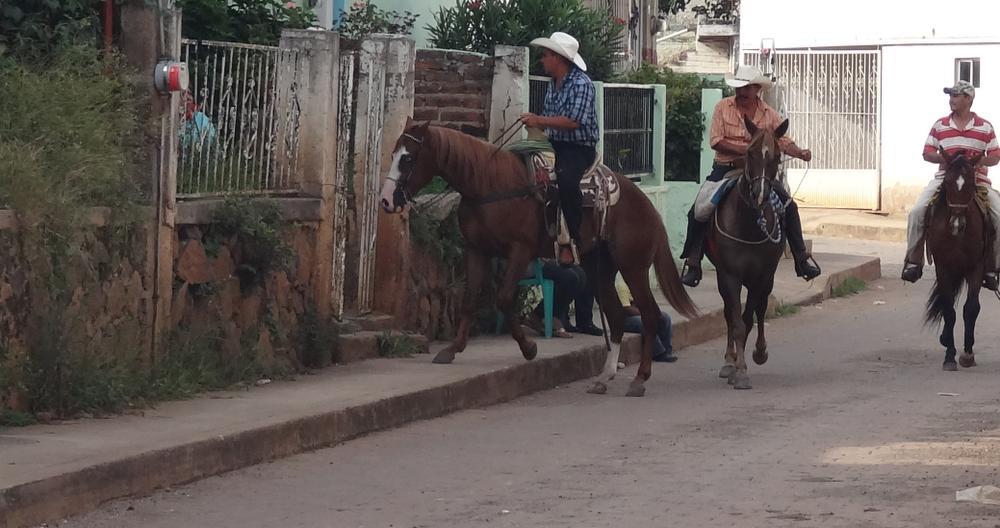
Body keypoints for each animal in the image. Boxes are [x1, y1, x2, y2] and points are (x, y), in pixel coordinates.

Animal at [378, 121, 700, 396]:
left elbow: (504, 298)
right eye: (393, 154)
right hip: (600, 269)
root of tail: (648, 207)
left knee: (650, 315)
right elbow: (469, 299)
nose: (386, 200)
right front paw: (452, 349)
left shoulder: (520, 251)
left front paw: (528, 347)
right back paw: (604, 377)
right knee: (618, 316)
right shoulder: (476, 250)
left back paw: (639, 379)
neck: (489, 184)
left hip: (633, 267)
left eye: (408, 159)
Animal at [712, 116, 788, 388]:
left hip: (767, 278)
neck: (748, 225)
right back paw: (728, 361)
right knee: (728, 313)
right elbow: (735, 322)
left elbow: (748, 318)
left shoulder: (762, 276)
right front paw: (737, 368)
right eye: (749, 153)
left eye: (777, 155)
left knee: (761, 308)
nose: (760, 194)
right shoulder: (729, 275)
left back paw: (759, 352)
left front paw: (747, 364)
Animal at [924, 148, 988, 372]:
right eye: (948, 182)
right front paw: (949, 357)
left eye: (970, 184)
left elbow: (971, 308)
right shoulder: (943, 267)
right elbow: (949, 310)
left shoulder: (976, 267)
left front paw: (967, 354)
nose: (956, 224)